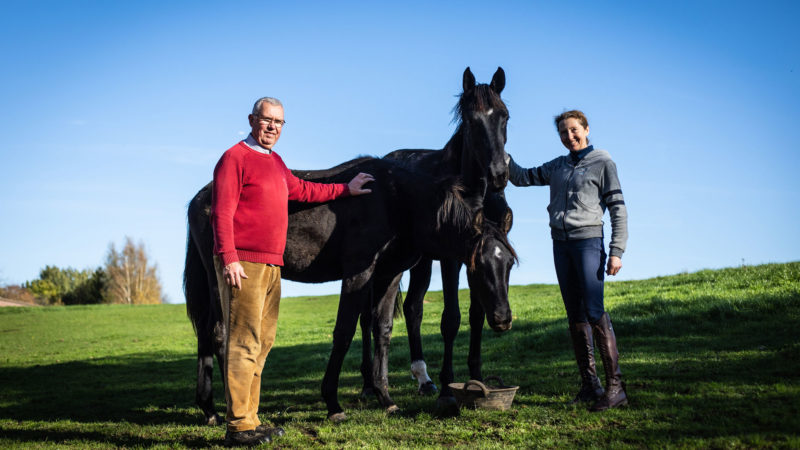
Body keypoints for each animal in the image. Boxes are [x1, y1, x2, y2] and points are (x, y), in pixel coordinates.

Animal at [186, 67, 512, 422]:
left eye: (509, 264)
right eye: (478, 266)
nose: (503, 319)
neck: (396, 199)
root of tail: (200, 198)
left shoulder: (389, 275)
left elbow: (382, 329)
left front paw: (384, 396)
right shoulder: (358, 272)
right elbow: (343, 332)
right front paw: (333, 403)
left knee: (207, 332)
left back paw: (209, 408)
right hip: (225, 277)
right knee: (221, 333)